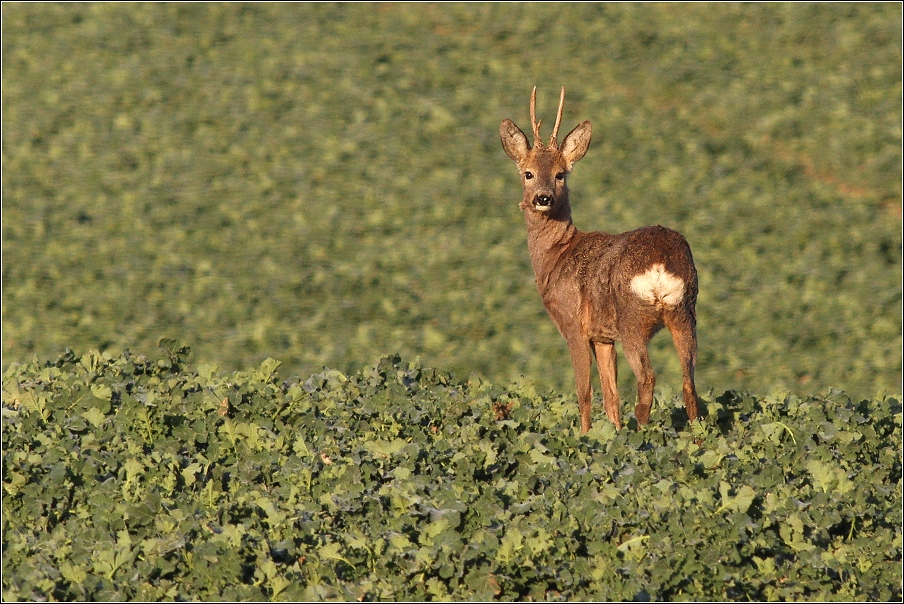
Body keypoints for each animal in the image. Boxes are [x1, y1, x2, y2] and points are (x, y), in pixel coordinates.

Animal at [502, 87, 700, 432]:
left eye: (560, 174)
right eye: (528, 173)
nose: (543, 198)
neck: (557, 255)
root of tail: (661, 262)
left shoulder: (573, 325)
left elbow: (585, 392)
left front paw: (585, 435)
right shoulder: (604, 336)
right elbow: (611, 396)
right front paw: (612, 433)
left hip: (632, 318)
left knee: (647, 380)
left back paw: (642, 434)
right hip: (684, 311)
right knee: (689, 383)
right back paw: (697, 436)